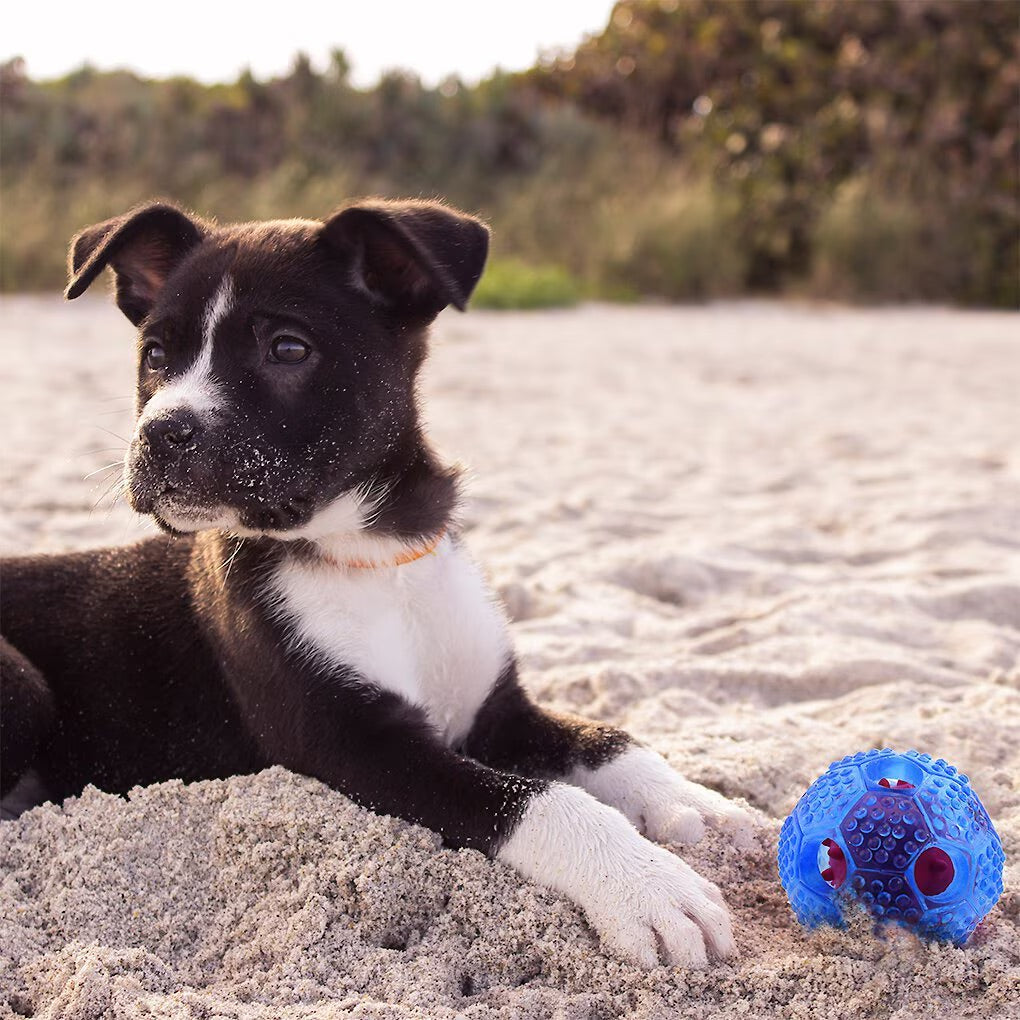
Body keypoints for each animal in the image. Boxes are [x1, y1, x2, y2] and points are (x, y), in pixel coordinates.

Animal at [0, 200, 750, 971]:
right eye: (155, 355)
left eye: (288, 349)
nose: (160, 432)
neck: (371, 554)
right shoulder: (356, 744)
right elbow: (538, 800)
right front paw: (647, 886)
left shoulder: (496, 709)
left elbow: (605, 737)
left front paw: (696, 801)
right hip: (21, 681)